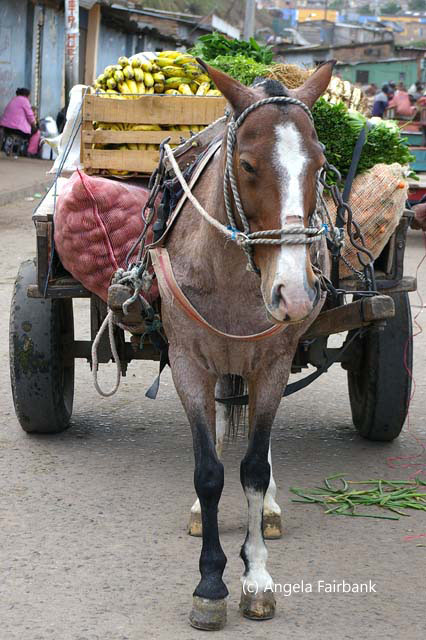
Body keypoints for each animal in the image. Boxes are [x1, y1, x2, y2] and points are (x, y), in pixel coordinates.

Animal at [152, 59, 334, 630]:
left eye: (321, 167)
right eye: (249, 166)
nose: (295, 293)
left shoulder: (272, 364)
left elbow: (253, 468)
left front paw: (256, 578)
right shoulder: (188, 363)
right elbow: (209, 472)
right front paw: (211, 584)